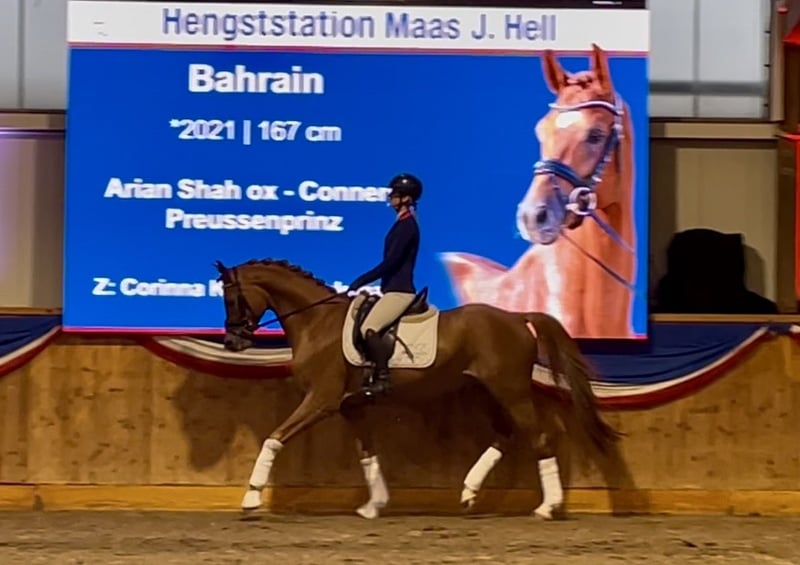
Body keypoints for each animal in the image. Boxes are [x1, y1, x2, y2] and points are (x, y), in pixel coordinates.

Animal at [214, 257, 620, 520]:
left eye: (232, 298)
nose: (233, 342)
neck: (318, 321)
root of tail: (517, 318)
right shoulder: (351, 406)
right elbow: (367, 452)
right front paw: (374, 505)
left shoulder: (322, 400)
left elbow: (273, 438)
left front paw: (250, 499)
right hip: (486, 391)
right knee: (504, 435)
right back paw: (469, 494)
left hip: (511, 391)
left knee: (540, 437)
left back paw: (547, 507)